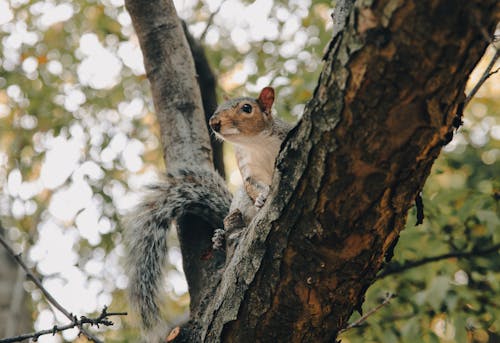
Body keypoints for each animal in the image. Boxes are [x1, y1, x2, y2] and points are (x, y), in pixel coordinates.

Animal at [125, 86, 292, 342]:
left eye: (247, 108)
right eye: (218, 108)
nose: (214, 122)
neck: (255, 143)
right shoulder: (248, 171)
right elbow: (254, 186)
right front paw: (262, 197)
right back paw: (221, 238)